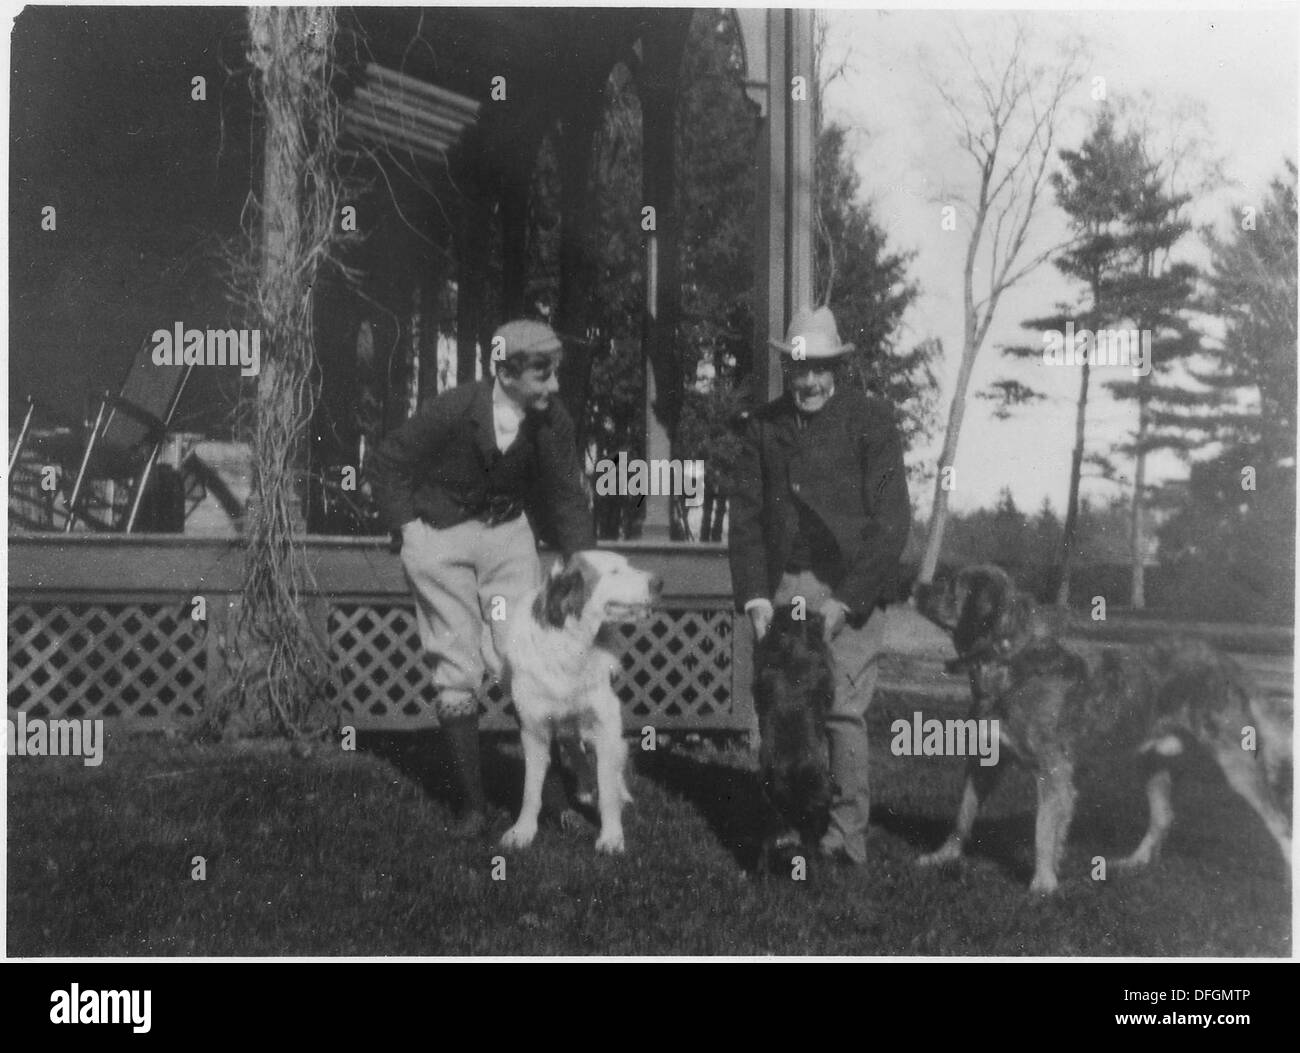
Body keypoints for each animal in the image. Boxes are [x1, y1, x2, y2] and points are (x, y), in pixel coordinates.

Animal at [496, 548, 660, 852]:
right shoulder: (533, 729)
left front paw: (611, 837)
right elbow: (531, 790)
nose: (660, 583)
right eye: (615, 572)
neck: (571, 645)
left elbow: (607, 790)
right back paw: (584, 789)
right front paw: (522, 832)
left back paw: (619, 793)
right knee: (575, 749)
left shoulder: (605, 725)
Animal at [915, 561, 1289, 889]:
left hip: (1237, 762)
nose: (917, 586)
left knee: (1281, 822)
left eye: (951, 585)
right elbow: (963, 815)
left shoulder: (1053, 771)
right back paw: (1132, 863)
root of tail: (1226, 661)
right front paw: (942, 856)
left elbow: (1043, 829)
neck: (1007, 660)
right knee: (1162, 816)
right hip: (1153, 761)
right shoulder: (985, 762)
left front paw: (1042, 885)